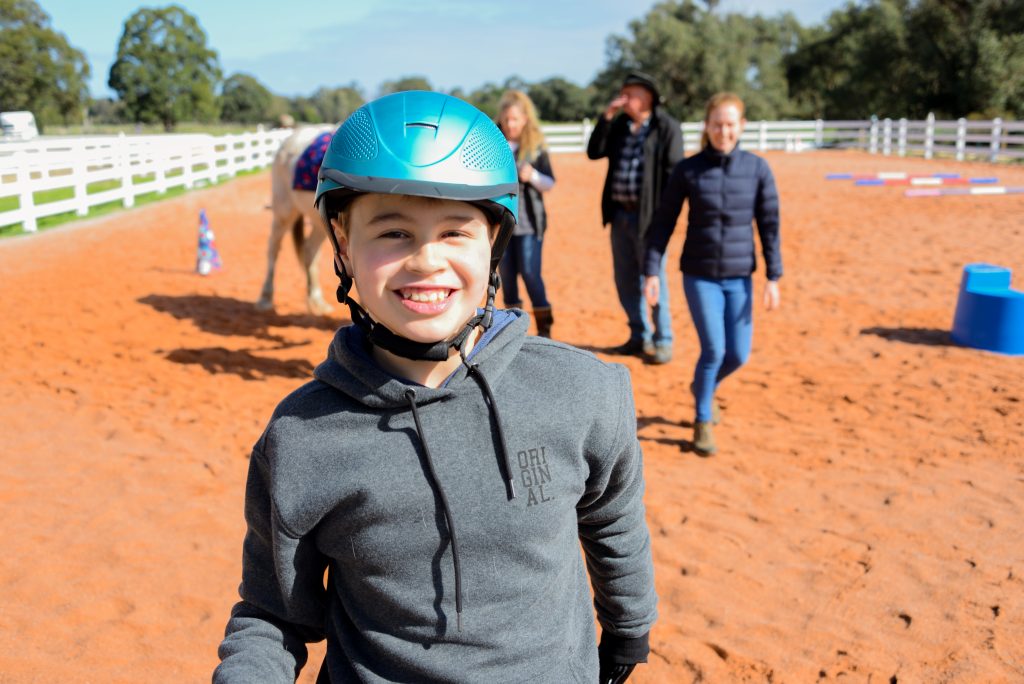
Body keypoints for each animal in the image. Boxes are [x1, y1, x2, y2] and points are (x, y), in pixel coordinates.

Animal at [253, 123, 333, 315]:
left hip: (320, 222)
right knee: (273, 248)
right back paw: (265, 298)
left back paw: (317, 301)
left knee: (310, 251)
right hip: (284, 211)